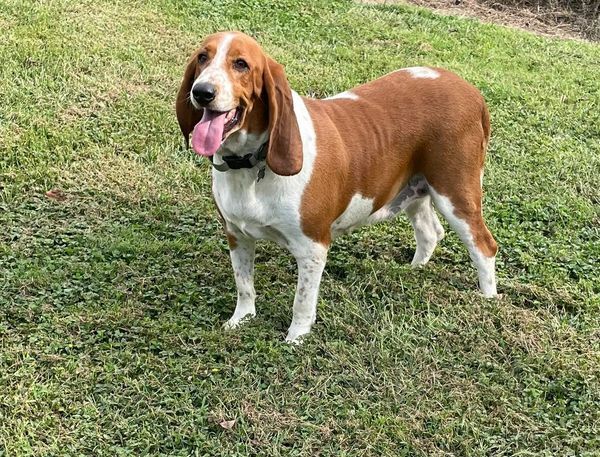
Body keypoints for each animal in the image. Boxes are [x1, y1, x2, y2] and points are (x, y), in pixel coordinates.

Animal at [176, 31, 500, 342]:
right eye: (203, 58)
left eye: (241, 64)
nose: (202, 92)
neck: (252, 164)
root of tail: (472, 92)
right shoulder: (237, 234)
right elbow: (244, 285)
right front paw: (241, 319)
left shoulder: (312, 247)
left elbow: (302, 302)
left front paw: (295, 338)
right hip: (418, 190)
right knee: (430, 232)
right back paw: (414, 269)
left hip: (455, 193)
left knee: (484, 246)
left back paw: (487, 299)